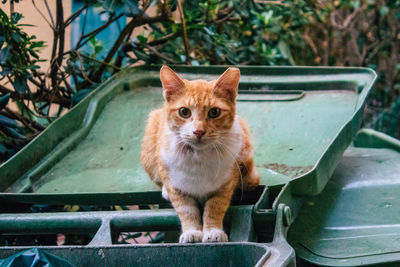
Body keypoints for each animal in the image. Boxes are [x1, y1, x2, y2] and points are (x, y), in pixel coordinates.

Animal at [141, 66, 260, 244]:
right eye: (184, 112)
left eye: (214, 112)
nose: (198, 131)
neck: (198, 156)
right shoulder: (177, 186)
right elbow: (187, 210)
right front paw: (192, 232)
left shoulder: (225, 184)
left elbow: (214, 207)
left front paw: (213, 231)